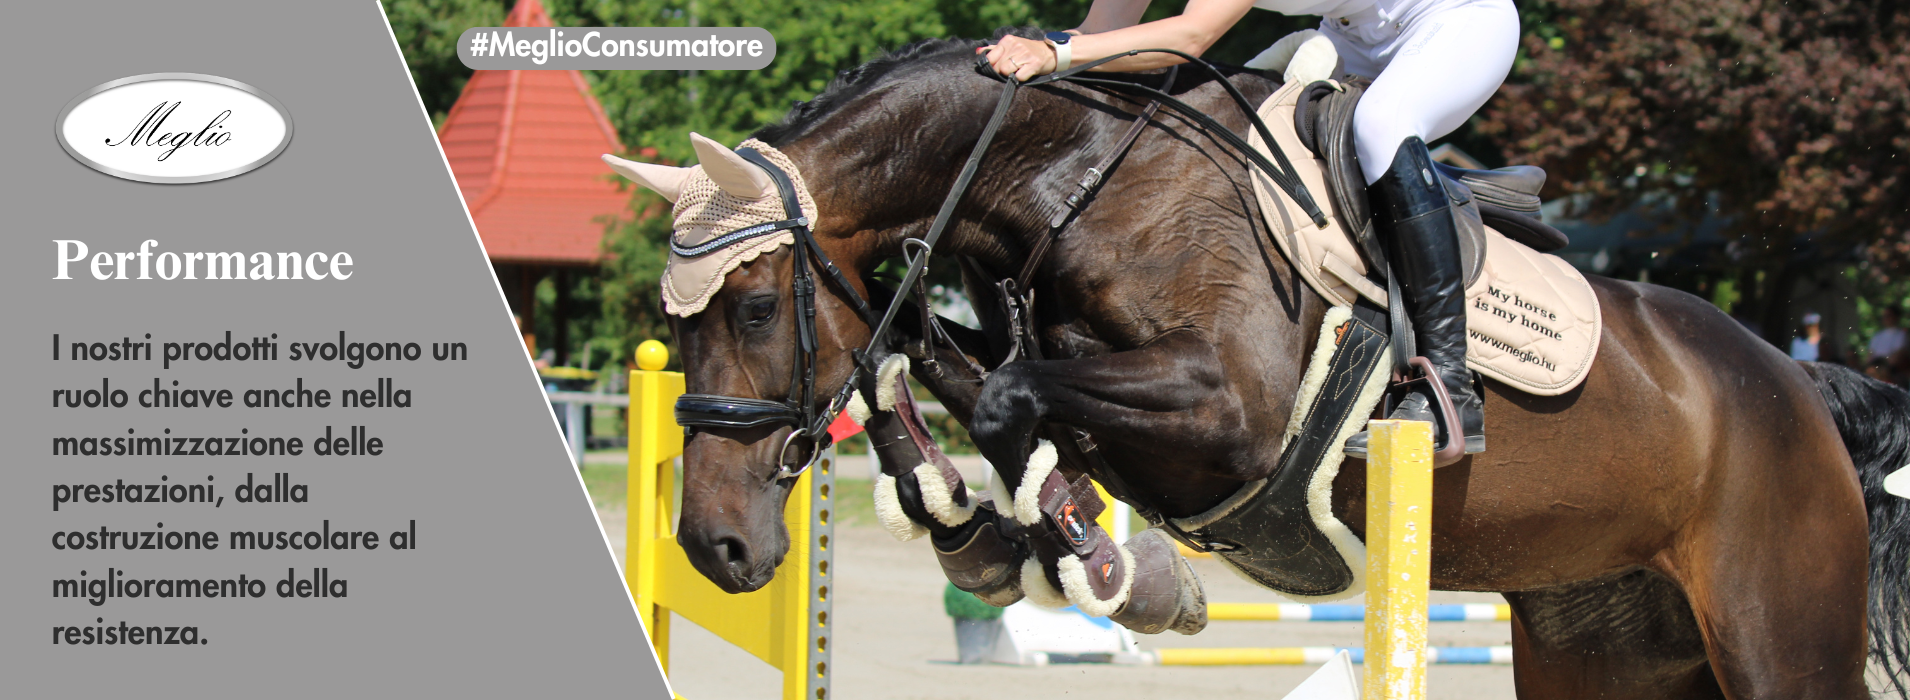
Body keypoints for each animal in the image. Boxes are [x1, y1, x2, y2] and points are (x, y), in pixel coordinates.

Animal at [621, 33, 1910, 699]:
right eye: (673, 323)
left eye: (752, 306)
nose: (714, 548)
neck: (1075, 181)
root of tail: (1803, 388)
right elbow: (923, 363)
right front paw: (992, 535)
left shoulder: (1227, 414)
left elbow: (1005, 401)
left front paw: (1095, 561)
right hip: (1604, 646)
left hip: (1778, 640)